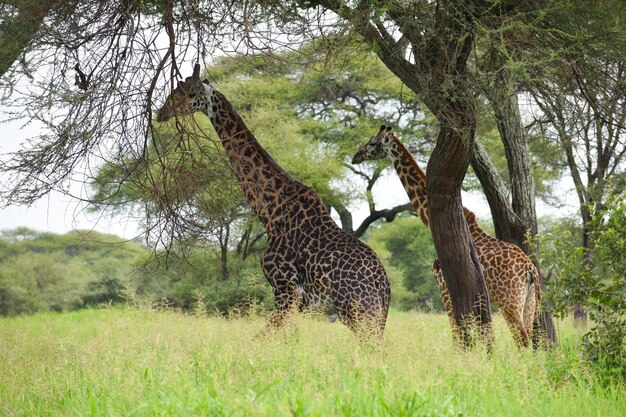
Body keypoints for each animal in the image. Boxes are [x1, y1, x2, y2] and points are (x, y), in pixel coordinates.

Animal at [156, 66, 388, 338]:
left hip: (358, 313)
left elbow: (262, 339)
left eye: (190, 93)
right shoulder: (296, 300)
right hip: (367, 316)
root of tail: (384, 285)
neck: (271, 213)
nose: (161, 113)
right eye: (174, 90)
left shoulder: (285, 288)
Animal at [354, 125, 540, 346]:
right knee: (532, 339)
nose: (355, 156)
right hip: (530, 302)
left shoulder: (443, 283)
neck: (427, 218)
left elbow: (456, 331)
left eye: (373, 143)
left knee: (522, 339)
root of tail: (529, 268)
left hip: (509, 299)